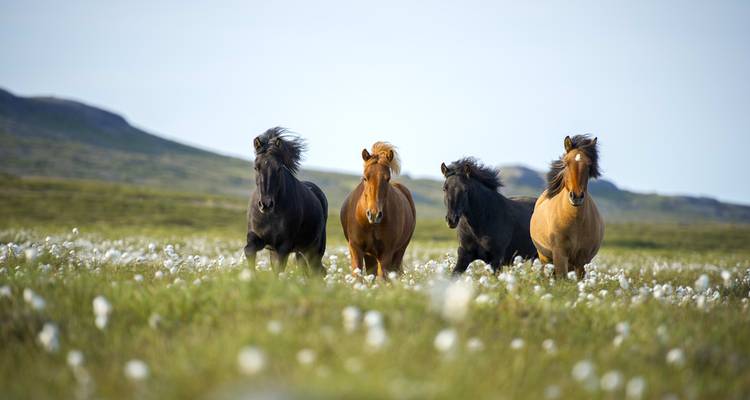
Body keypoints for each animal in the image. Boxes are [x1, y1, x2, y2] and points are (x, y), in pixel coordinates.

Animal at [244, 127, 328, 272]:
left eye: (278, 168)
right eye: (256, 167)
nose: (266, 204)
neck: (270, 216)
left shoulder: (283, 247)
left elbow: (278, 270)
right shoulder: (257, 239)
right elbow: (249, 251)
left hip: (314, 250)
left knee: (317, 270)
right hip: (300, 251)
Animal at [340, 142, 416, 278]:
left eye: (387, 178)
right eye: (365, 178)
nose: (374, 214)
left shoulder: (386, 253)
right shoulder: (355, 248)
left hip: (399, 251)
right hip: (370, 255)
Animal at [530, 135, 605, 279]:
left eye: (589, 165)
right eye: (565, 163)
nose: (576, 196)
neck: (574, 220)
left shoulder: (582, 260)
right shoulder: (560, 255)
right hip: (544, 258)